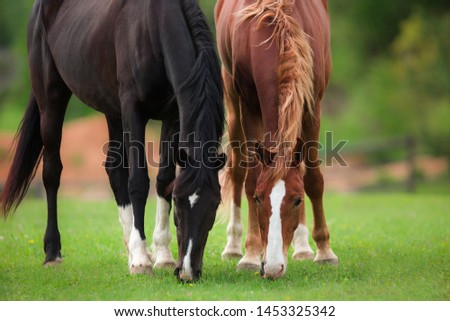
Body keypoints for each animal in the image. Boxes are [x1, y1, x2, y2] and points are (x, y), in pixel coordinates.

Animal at [0, 0, 225, 280]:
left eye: (214, 205)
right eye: (179, 203)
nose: (187, 272)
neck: (153, 27)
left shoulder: (172, 116)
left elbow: (163, 180)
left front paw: (161, 256)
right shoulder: (133, 110)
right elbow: (139, 181)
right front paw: (141, 262)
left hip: (112, 110)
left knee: (114, 171)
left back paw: (133, 248)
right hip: (51, 99)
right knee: (52, 172)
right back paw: (53, 254)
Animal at [215, 0, 338, 278]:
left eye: (297, 200)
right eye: (259, 199)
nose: (272, 267)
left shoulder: (313, 103)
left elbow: (313, 179)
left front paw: (325, 251)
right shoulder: (249, 106)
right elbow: (250, 180)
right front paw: (251, 254)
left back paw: (303, 247)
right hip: (231, 98)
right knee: (237, 170)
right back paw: (233, 245)